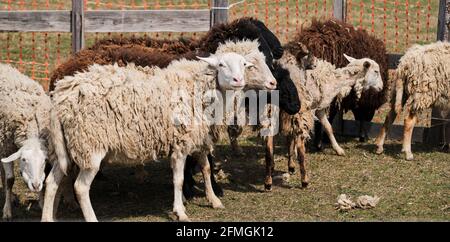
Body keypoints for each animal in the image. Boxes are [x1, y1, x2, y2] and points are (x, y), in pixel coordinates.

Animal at [0, 62, 51, 219]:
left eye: (45, 160)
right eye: (23, 160)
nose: (35, 186)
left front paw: (42, 203)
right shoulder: (6, 147)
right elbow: (10, 180)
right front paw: (7, 211)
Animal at [43, 41, 282, 221]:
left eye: (244, 64)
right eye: (222, 64)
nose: (273, 83)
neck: (199, 87)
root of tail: (61, 97)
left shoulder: (198, 137)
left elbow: (205, 168)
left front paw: (213, 200)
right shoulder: (181, 144)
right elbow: (178, 179)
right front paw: (180, 211)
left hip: (67, 147)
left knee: (52, 181)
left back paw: (48, 217)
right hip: (90, 146)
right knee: (81, 187)